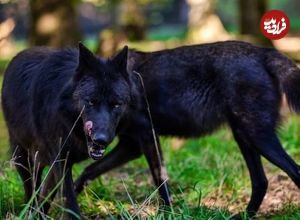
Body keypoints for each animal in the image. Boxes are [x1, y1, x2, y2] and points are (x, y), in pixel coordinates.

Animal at [1, 40, 300, 218]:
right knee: (261, 181)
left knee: (293, 171)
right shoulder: (130, 145)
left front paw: (168, 213)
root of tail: (263, 51)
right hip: (245, 137)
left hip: (257, 137)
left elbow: (161, 181)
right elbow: (85, 172)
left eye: (116, 104)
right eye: (92, 102)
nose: (100, 137)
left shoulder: (145, 138)